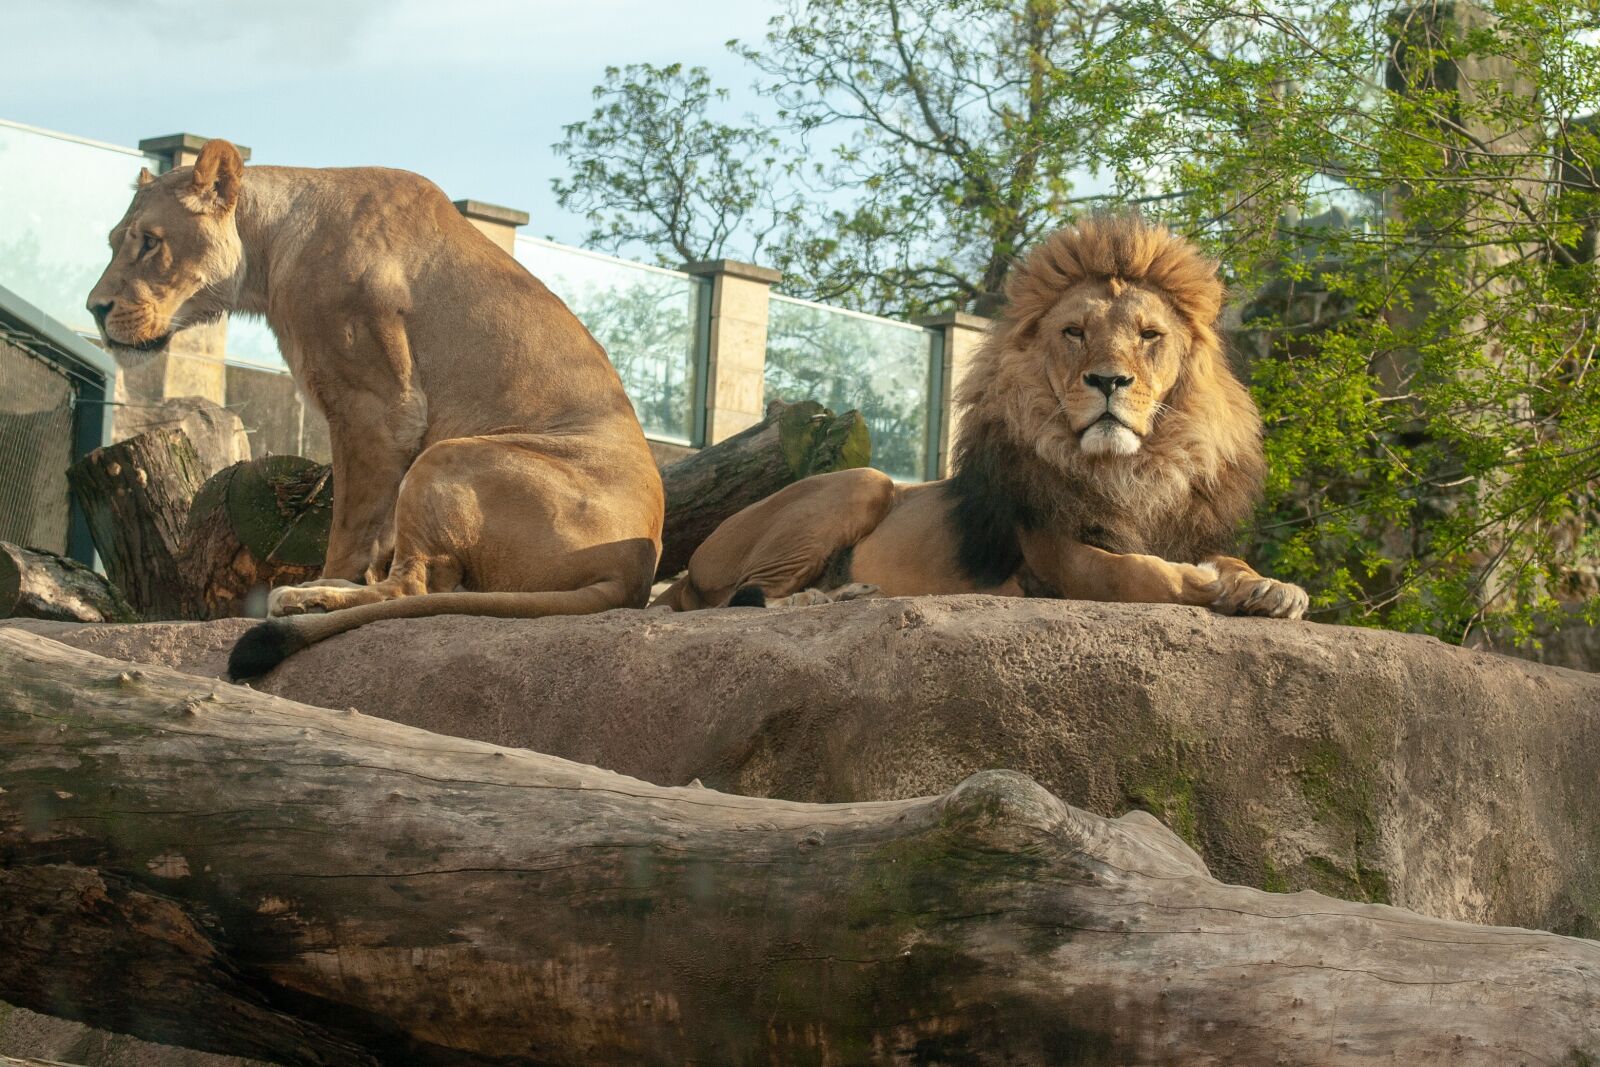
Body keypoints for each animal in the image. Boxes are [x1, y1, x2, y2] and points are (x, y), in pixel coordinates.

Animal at [86, 140, 664, 679]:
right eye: (115, 241)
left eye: (149, 241)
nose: (94, 309)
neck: (269, 250)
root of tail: (634, 571)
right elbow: (376, 531)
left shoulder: (377, 407)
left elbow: (350, 526)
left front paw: (328, 576)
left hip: (448, 457)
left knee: (412, 587)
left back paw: (305, 598)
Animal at [652, 215, 1308, 620]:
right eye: (1074, 333)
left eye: (1150, 336)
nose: (1108, 381)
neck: (1132, 470)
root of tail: (687, 569)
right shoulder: (1058, 557)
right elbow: (1141, 576)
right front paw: (1208, 584)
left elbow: (1223, 560)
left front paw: (1272, 587)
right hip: (861, 481)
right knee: (741, 600)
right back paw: (830, 598)